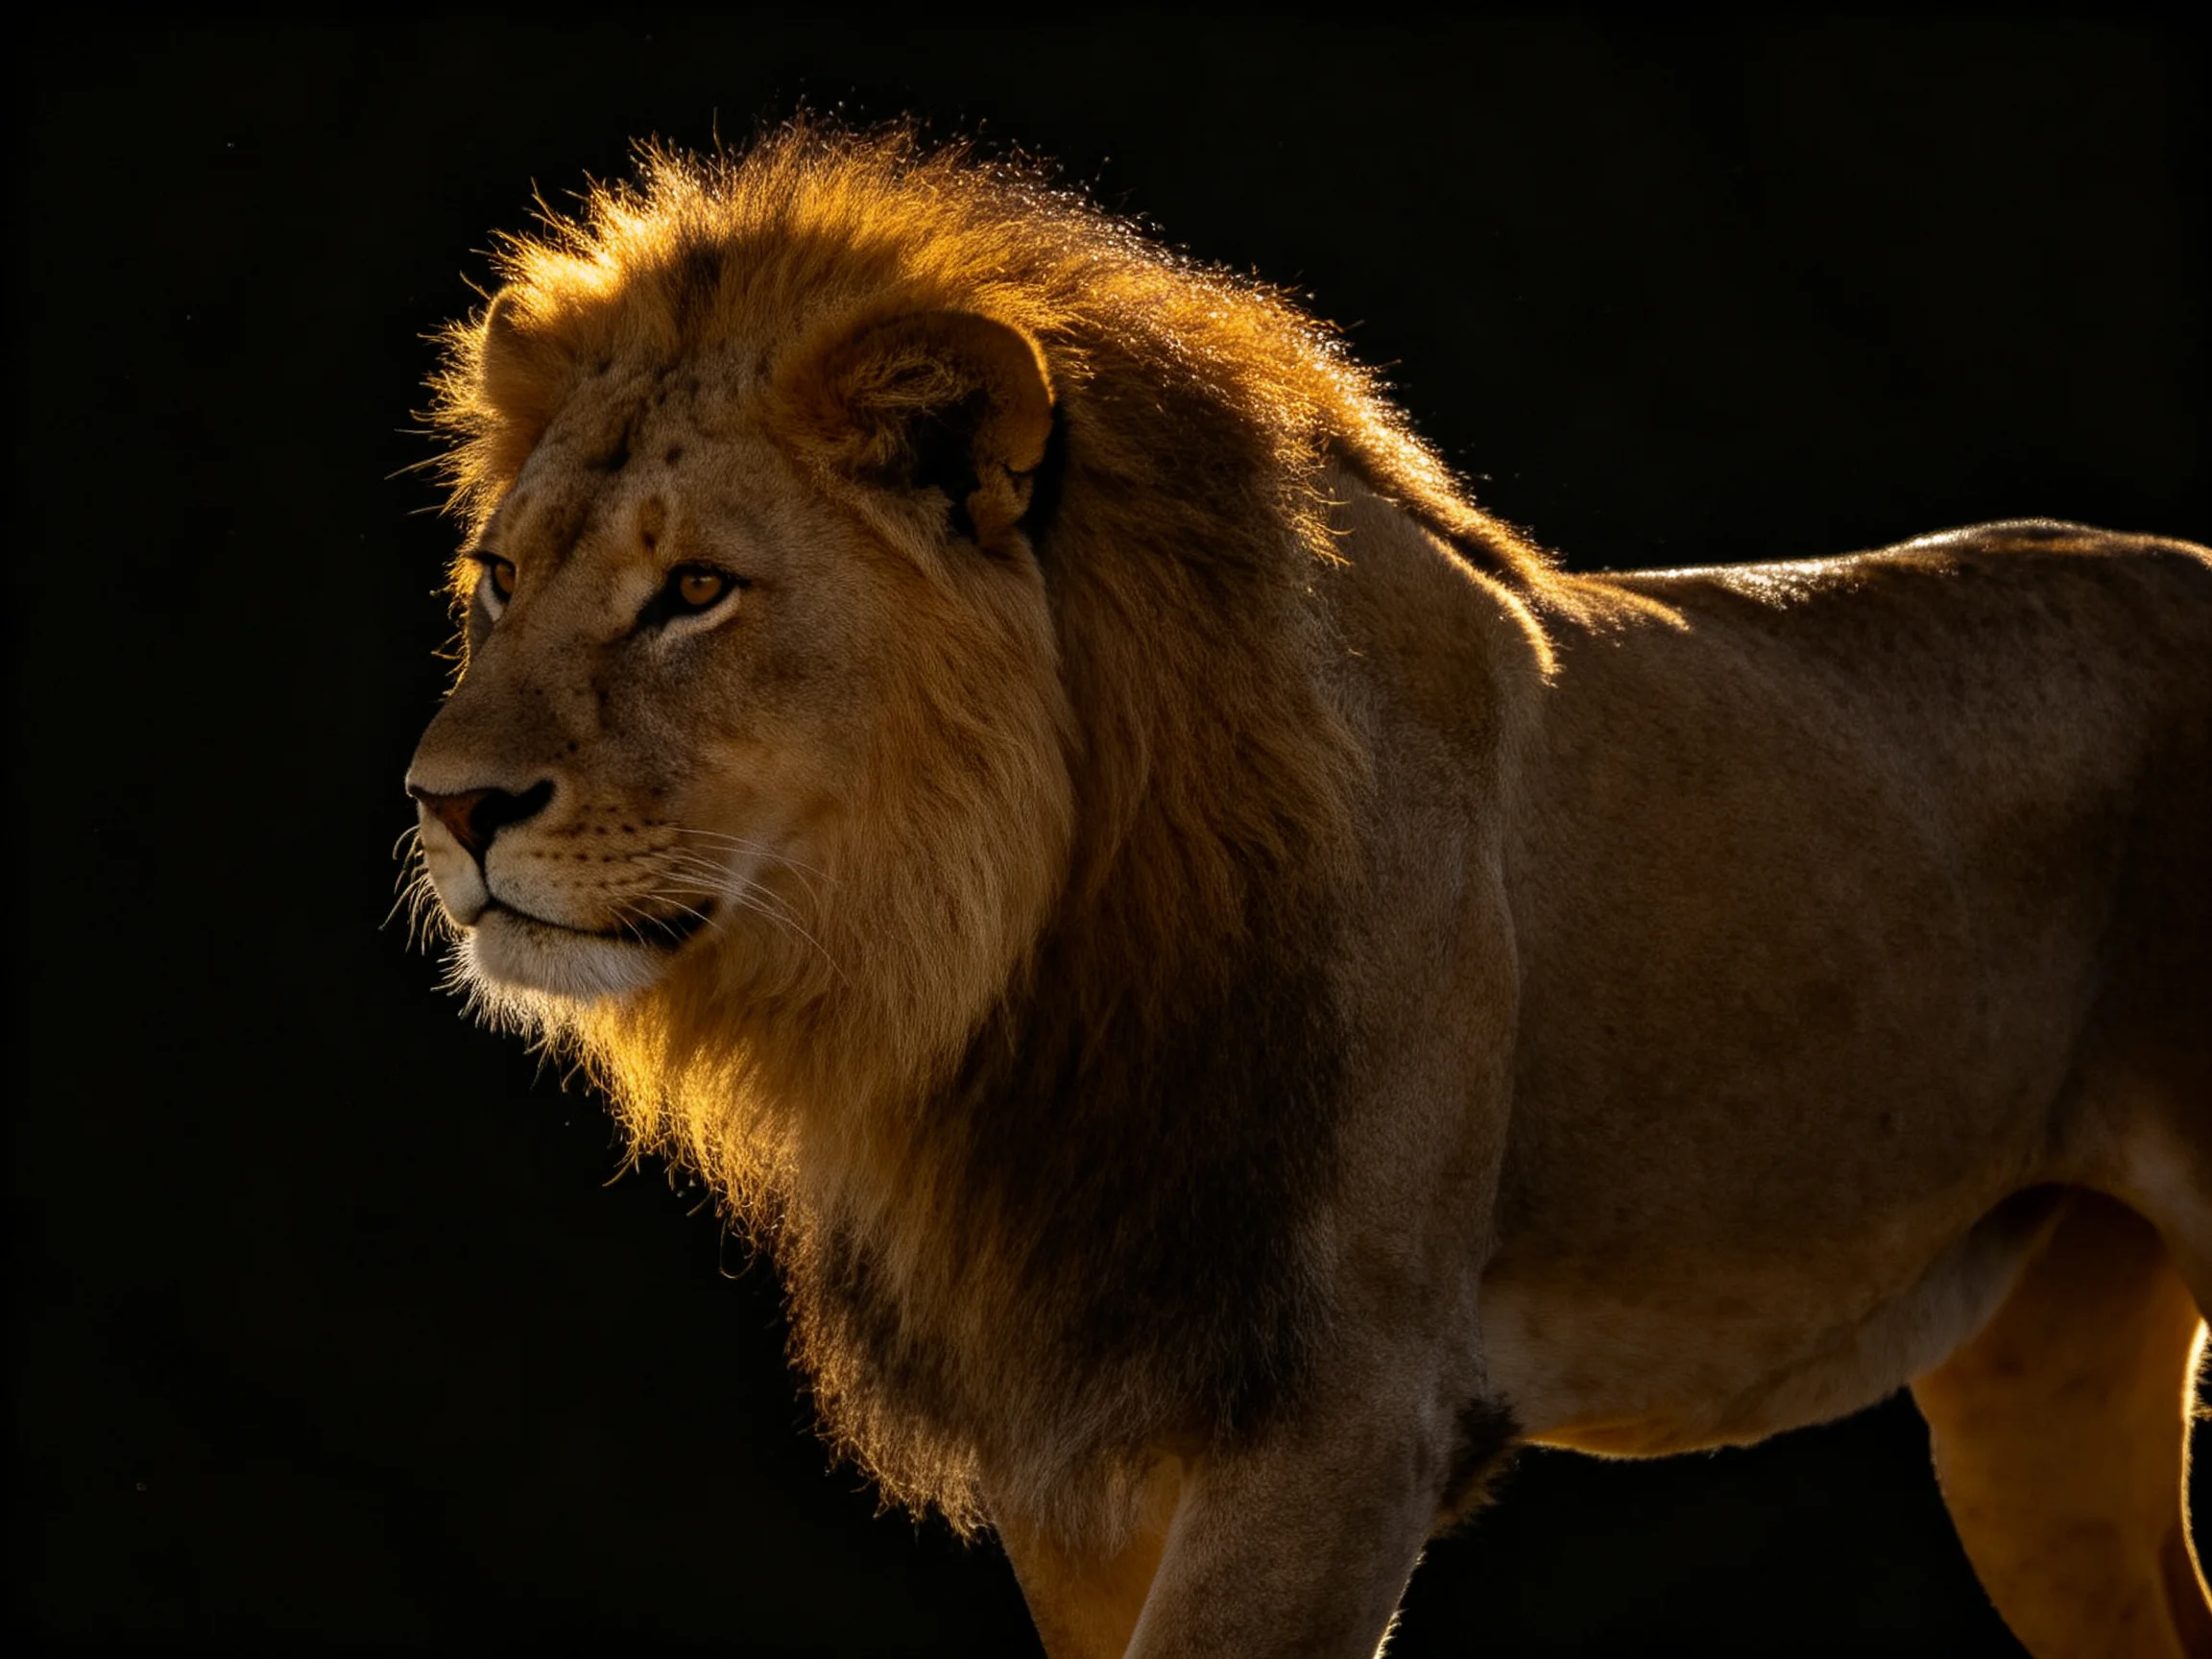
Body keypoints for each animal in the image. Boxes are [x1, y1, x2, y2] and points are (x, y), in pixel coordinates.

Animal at [404, 122, 2212, 1658]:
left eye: (697, 590)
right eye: (500, 576)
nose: (449, 807)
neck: (999, 974)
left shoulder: (1337, 1420)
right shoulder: (1082, 1449)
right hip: (2039, 1396)